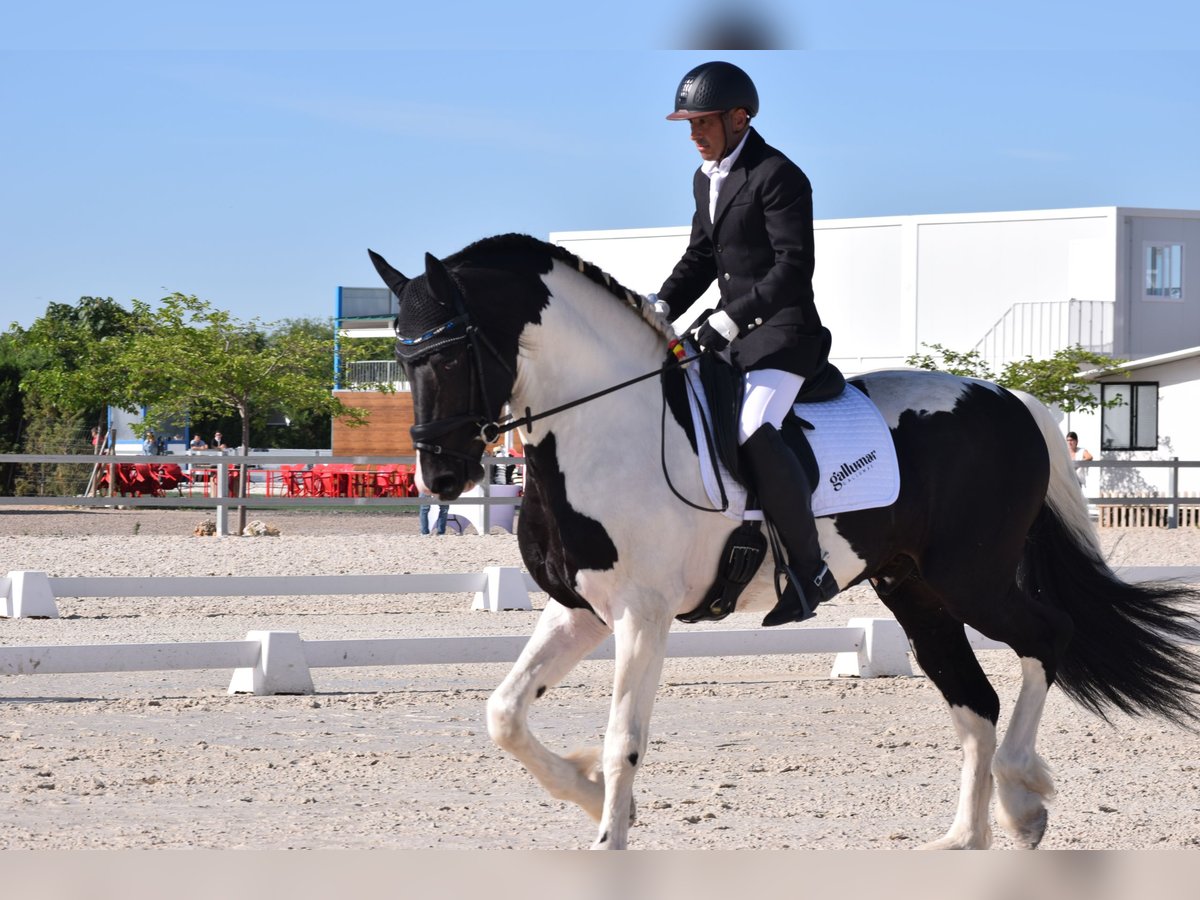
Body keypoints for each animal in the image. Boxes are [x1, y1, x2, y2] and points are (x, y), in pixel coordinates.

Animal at [369, 234, 1200, 854]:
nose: (440, 476)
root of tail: (1012, 401)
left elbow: (621, 738)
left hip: (973, 577)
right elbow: (504, 713)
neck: (602, 427)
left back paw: (1023, 799)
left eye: (449, 354)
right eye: (401, 359)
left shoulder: (643, 614)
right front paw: (594, 795)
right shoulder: (580, 608)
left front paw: (610, 830)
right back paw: (965, 838)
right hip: (914, 588)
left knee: (1046, 637)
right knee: (975, 697)